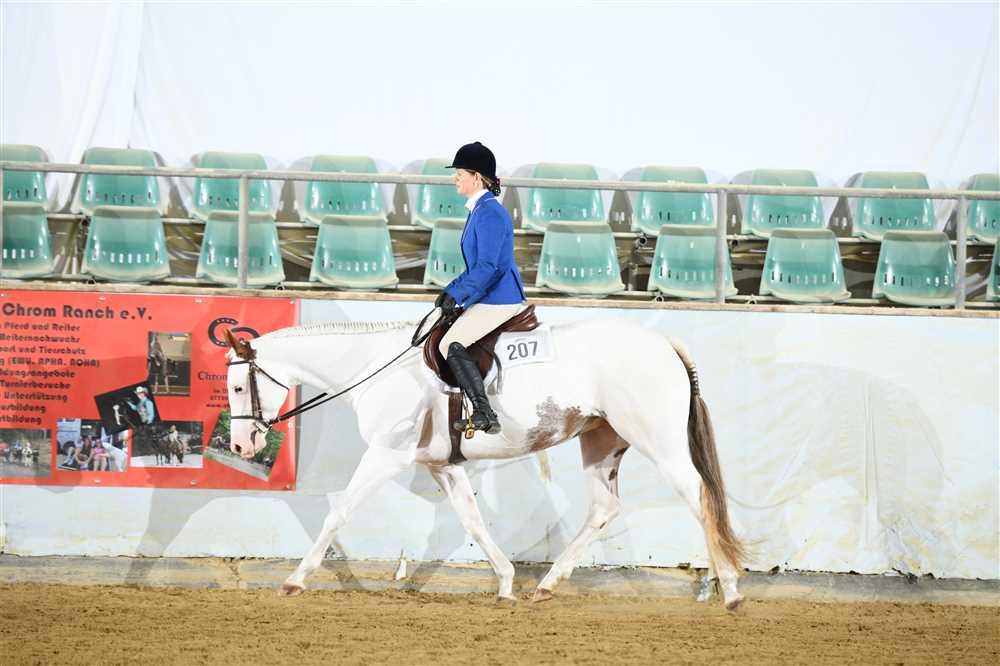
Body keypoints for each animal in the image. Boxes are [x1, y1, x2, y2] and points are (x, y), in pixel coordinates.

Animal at [222, 315, 747, 610]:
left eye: (237, 386)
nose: (242, 448)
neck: (374, 366)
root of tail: (663, 342)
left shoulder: (387, 454)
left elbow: (338, 513)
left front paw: (294, 580)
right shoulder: (443, 465)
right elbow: (472, 520)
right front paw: (507, 583)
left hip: (657, 439)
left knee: (699, 496)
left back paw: (731, 590)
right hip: (602, 441)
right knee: (603, 508)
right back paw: (546, 587)